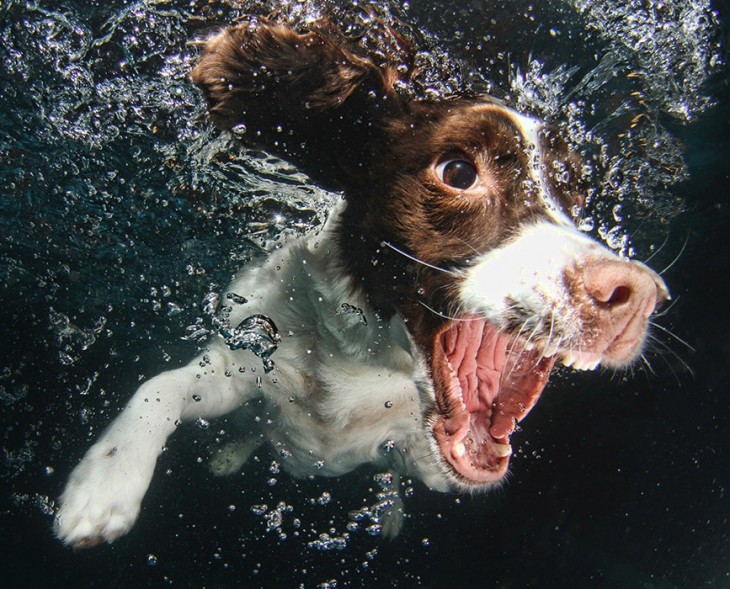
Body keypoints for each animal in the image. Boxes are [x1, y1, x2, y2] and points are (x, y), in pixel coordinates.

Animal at [54, 13, 668, 548]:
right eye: (458, 172)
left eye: (576, 197)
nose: (637, 296)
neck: (361, 355)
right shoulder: (238, 361)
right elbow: (159, 386)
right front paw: (106, 482)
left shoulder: (416, 449)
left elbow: (408, 467)